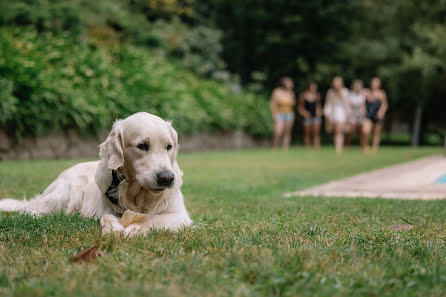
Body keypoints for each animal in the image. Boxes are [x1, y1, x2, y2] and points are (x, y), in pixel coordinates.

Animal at [0, 112, 192, 235]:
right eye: (142, 146)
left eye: (169, 146)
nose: (167, 178)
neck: (138, 194)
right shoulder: (107, 207)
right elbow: (106, 216)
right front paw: (111, 228)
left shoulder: (181, 216)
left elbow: (152, 219)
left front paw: (137, 227)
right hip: (67, 193)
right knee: (31, 210)